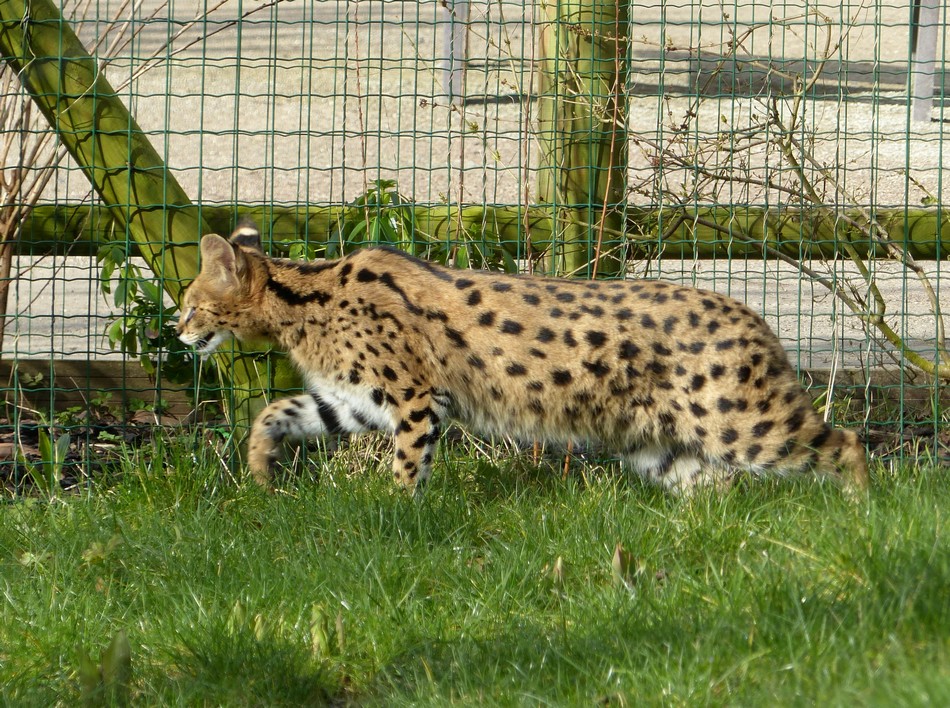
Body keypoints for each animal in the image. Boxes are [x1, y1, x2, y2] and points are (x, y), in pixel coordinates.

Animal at [177, 220, 872, 492]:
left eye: (191, 303)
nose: (177, 331)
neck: (308, 299)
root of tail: (756, 317)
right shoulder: (352, 401)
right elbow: (273, 413)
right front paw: (261, 472)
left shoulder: (415, 397)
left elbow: (406, 469)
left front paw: (393, 516)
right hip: (657, 442)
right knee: (714, 491)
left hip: (738, 420)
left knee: (845, 444)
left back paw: (862, 514)